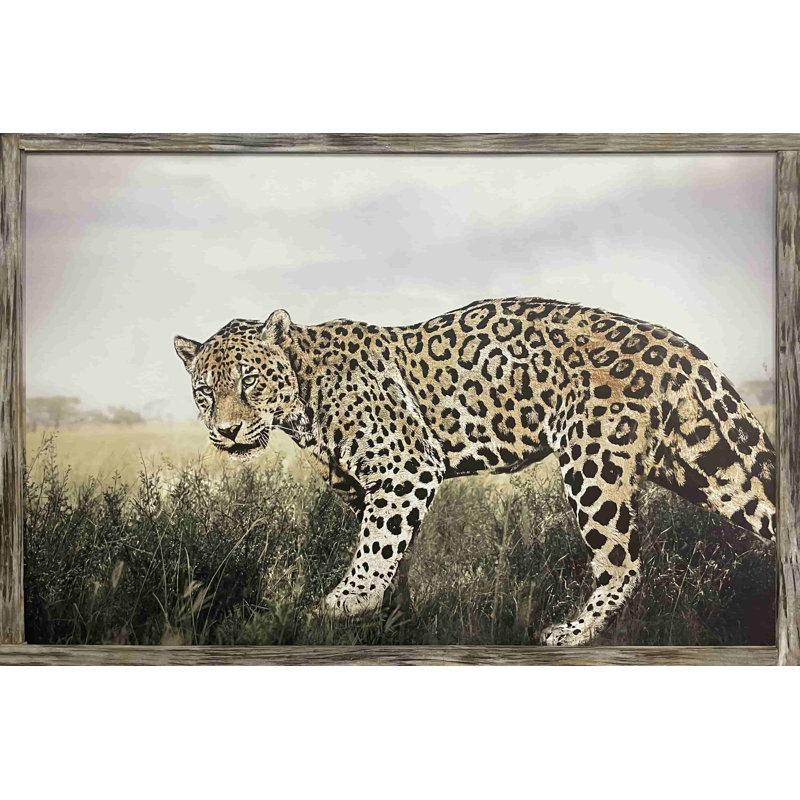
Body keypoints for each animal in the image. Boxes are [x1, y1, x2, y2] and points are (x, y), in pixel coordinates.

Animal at [174, 297, 776, 646]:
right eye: (205, 392)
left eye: (250, 381)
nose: (227, 431)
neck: (304, 400)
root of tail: (679, 346)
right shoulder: (367, 491)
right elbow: (391, 554)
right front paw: (391, 620)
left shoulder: (407, 469)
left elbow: (374, 552)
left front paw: (341, 606)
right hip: (712, 468)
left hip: (595, 465)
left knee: (622, 563)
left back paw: (573, 633)